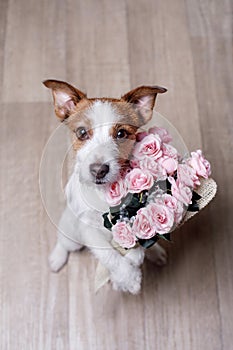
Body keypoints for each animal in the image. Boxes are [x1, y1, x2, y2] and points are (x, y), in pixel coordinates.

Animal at [43, 80, 167, 294]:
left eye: (121, 133)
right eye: (82, 132)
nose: (99, 170)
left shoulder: (136, 213)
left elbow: (137, 244)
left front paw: (133, 263)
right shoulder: (88, 229)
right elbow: (109, 255)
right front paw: (128, 278)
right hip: (71, 233)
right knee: (64, 243)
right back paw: (57, 258)